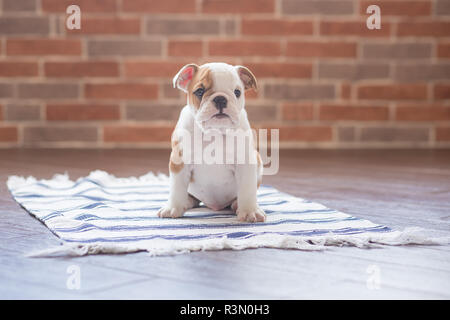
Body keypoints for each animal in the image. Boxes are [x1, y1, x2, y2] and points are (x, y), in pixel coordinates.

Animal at [157, 62, 266, 222]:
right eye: (199, 91)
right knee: (192, 198)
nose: (220, 99)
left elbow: (247, 189)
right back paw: (186, 201)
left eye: (237, 92)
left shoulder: (246, 162)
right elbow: (176, 188)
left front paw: (249, 211)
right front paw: (173, 208)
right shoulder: (179, 161)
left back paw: (236, 204)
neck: (215, 132)